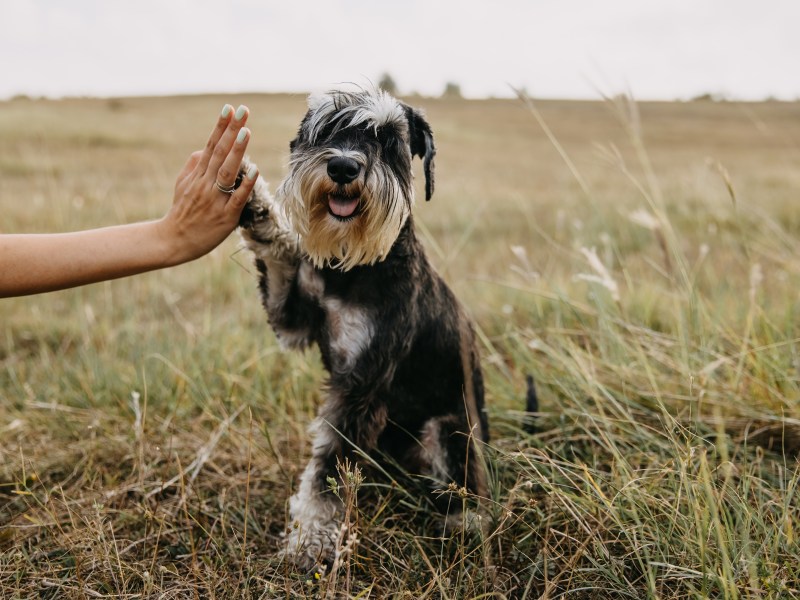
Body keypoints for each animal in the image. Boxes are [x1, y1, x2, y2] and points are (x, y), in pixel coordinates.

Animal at [236, 89, 488, 572]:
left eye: (389, 140)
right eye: (327, 129)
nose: (343, 167)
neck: (352, 267)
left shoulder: (362, 382)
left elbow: (328, 471)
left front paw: (311, 542)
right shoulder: (293, 318)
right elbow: (279, 256)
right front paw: (257, 208)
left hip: (448, 429)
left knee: (467, 489)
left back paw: (462, 525)